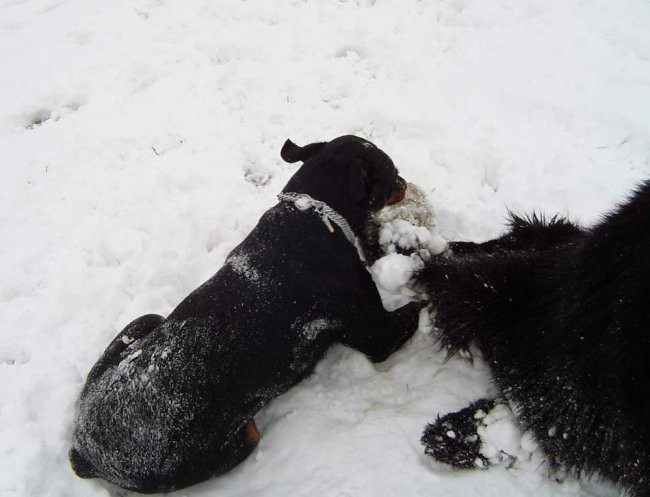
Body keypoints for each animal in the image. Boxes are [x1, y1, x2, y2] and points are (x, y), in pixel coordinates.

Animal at [69, 135, 416, 492]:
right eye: (393, 175)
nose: (405, 182)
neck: (315, 218)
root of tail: (85, 453)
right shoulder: (377, 333)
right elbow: (413, 313)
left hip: (146, 320)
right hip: (241, 438)